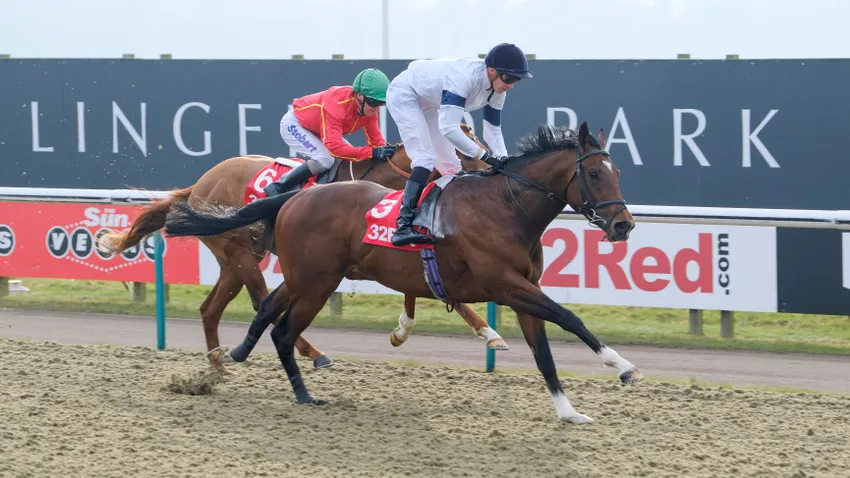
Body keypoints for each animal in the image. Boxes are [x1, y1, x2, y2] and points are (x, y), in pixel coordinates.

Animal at [97, 124, 504, 378]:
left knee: (211, 308)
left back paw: (218, 365)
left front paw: (486, 333)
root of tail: (199, 184)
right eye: (462, 145)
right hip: (242, 257)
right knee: (263, 301)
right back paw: (312, 353)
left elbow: (424, 288)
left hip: (234, 260)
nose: (489, 168)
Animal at [162, 122, 644, 422]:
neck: (505, 207)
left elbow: (544, 354)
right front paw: (622, 366)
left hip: (305, 276)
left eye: (618, 171)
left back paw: (233, 356)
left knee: (263, 310)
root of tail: (292, 197)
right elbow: (569, 317)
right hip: (311, 280)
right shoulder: (506, 285)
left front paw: (569, 411)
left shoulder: (524, 289)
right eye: (595, 173)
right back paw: (302, 393)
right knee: (280, 326)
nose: (624, 225)